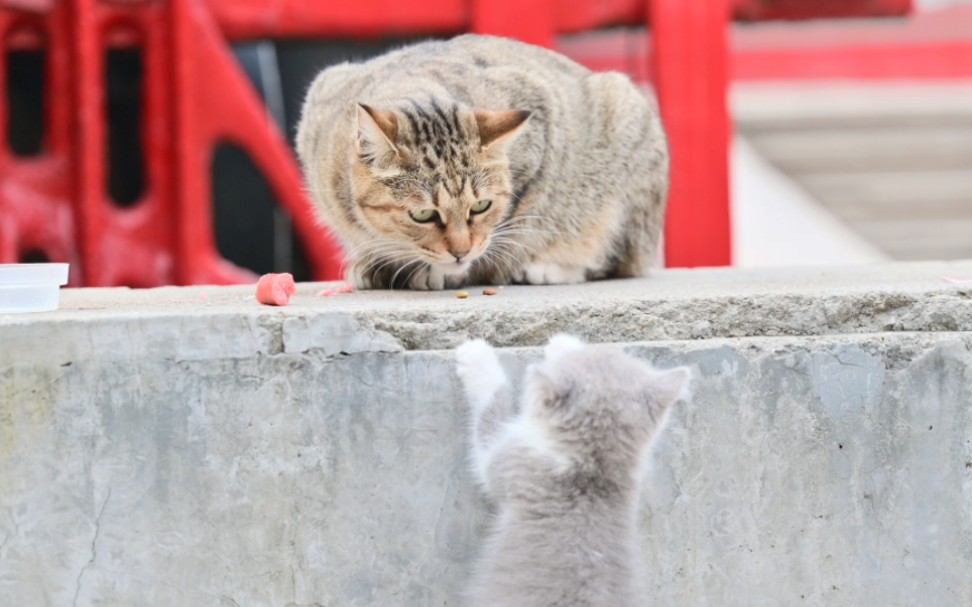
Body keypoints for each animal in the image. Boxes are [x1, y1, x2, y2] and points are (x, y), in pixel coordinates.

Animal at [292, 34, 664, 290]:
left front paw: (446, 270)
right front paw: (374, 261)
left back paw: (550, 267)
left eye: (481, 206)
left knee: (613, 259)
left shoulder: (542, 133)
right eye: (423, 214)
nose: (461, 252)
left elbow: (513, 226)